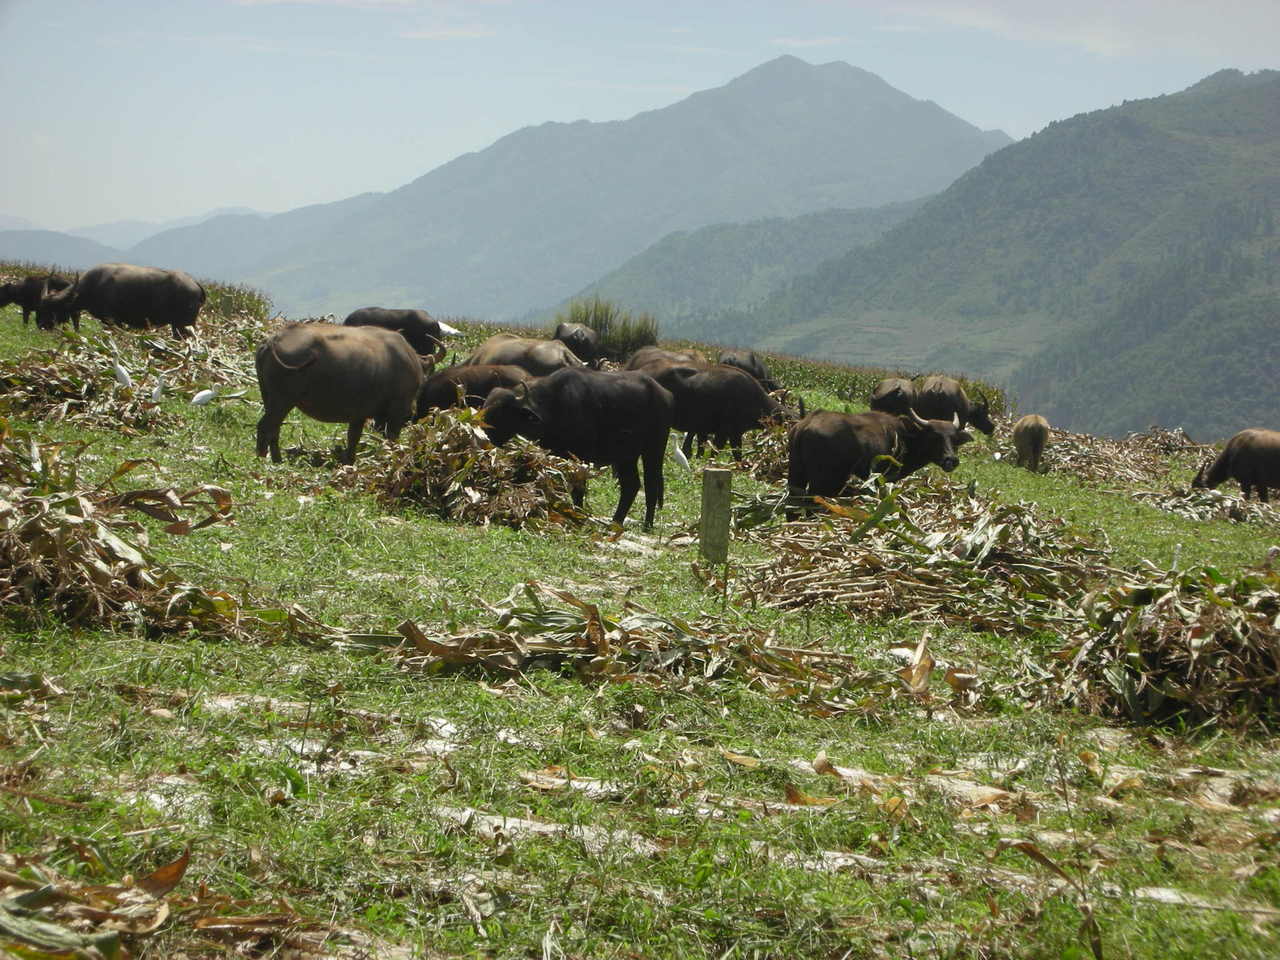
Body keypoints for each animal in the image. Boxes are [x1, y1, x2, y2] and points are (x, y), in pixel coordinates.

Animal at [38, 263, 204, 337]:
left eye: (48, 309)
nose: (40, 325)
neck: (93, 285)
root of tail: (194, 283)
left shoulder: (111, 319)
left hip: (183, 325)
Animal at [253, 323, 424, 465]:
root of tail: (272, 340)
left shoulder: (359, 414)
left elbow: (353, 437)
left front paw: (349, 461)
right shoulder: (397, 411)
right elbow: (391, 438)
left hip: (269, 398)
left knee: (274, 428)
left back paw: (275, 460)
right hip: (282, 400)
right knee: (265, 426)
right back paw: (268, 459)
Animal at [481, 371, 675, 535]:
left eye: (502, 412)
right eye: (486, 407)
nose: (484, 435)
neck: (556, 406)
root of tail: (665, 395)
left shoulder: (581, 458)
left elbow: (578, 489)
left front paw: (579, 517)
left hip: (654, 450)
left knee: (651, 485)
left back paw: (647, 525)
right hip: (627, 456)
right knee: (631, 485)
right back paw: (615, 522)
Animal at [783, 407, 972, 514]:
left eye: (954, 438)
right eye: (934, 436)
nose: (951, 460)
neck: (904, 437)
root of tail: (805, 425)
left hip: (796, 474)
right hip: (825, 481)